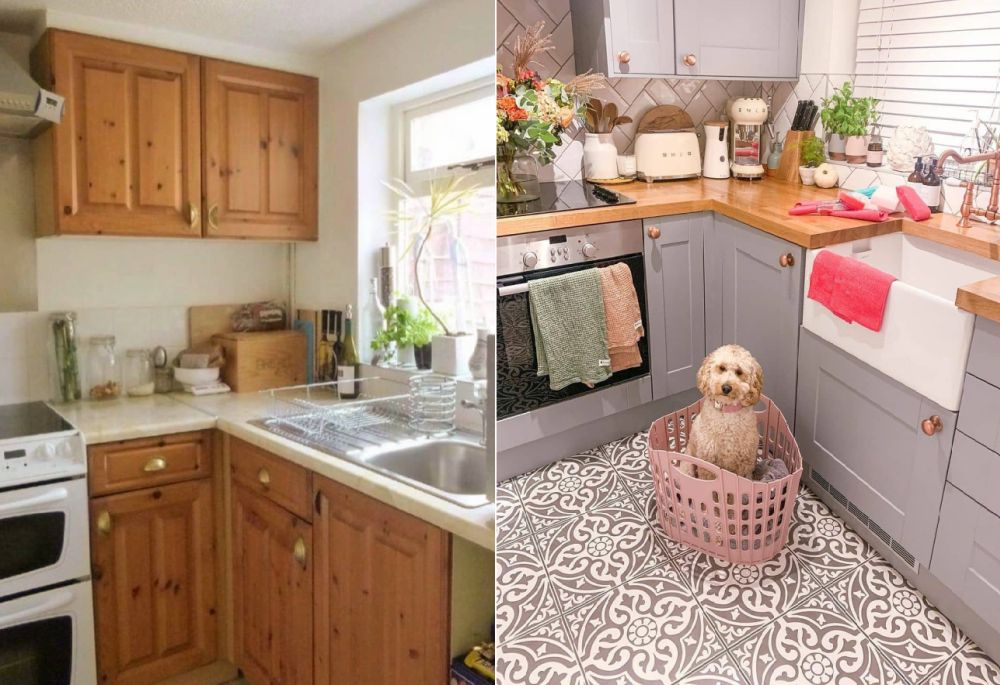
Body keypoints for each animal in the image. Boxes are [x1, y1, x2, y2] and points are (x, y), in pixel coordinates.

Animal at [684, 344, 760, 478]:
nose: (726, 388)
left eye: (739, 372)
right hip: (688, 465)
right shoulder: (707, 462)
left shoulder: (746, 462)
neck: (727, 412)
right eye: (722, 368)